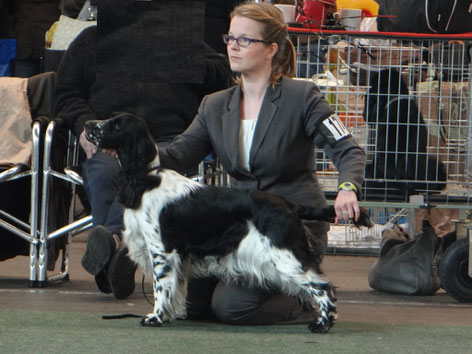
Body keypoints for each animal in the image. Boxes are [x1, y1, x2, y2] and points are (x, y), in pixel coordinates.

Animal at [85, 112, 372, 332]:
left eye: (117, 125)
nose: (87, 125)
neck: (145, 178)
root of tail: (290, 206)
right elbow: (176, 288)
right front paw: (170, 315)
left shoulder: (161, 250)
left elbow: (160, 286)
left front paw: (154, 318)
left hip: (285, 256)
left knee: (322, 286)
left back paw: (322, 324)